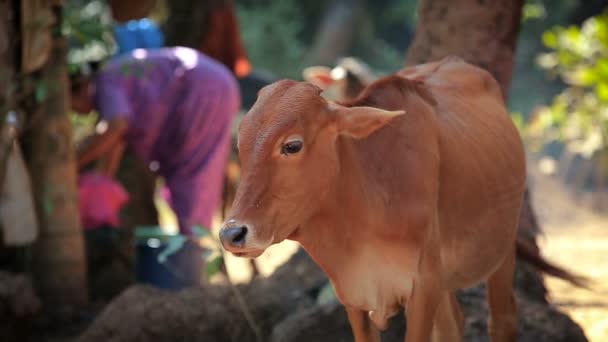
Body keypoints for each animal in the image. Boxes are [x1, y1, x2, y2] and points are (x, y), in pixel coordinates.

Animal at [220, 57, 528, 340]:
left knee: (502, 319)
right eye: (240, 145)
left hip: (502, 250)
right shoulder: (353, 293)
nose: (232, 234)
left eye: (292, 145)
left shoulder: (423, 288)